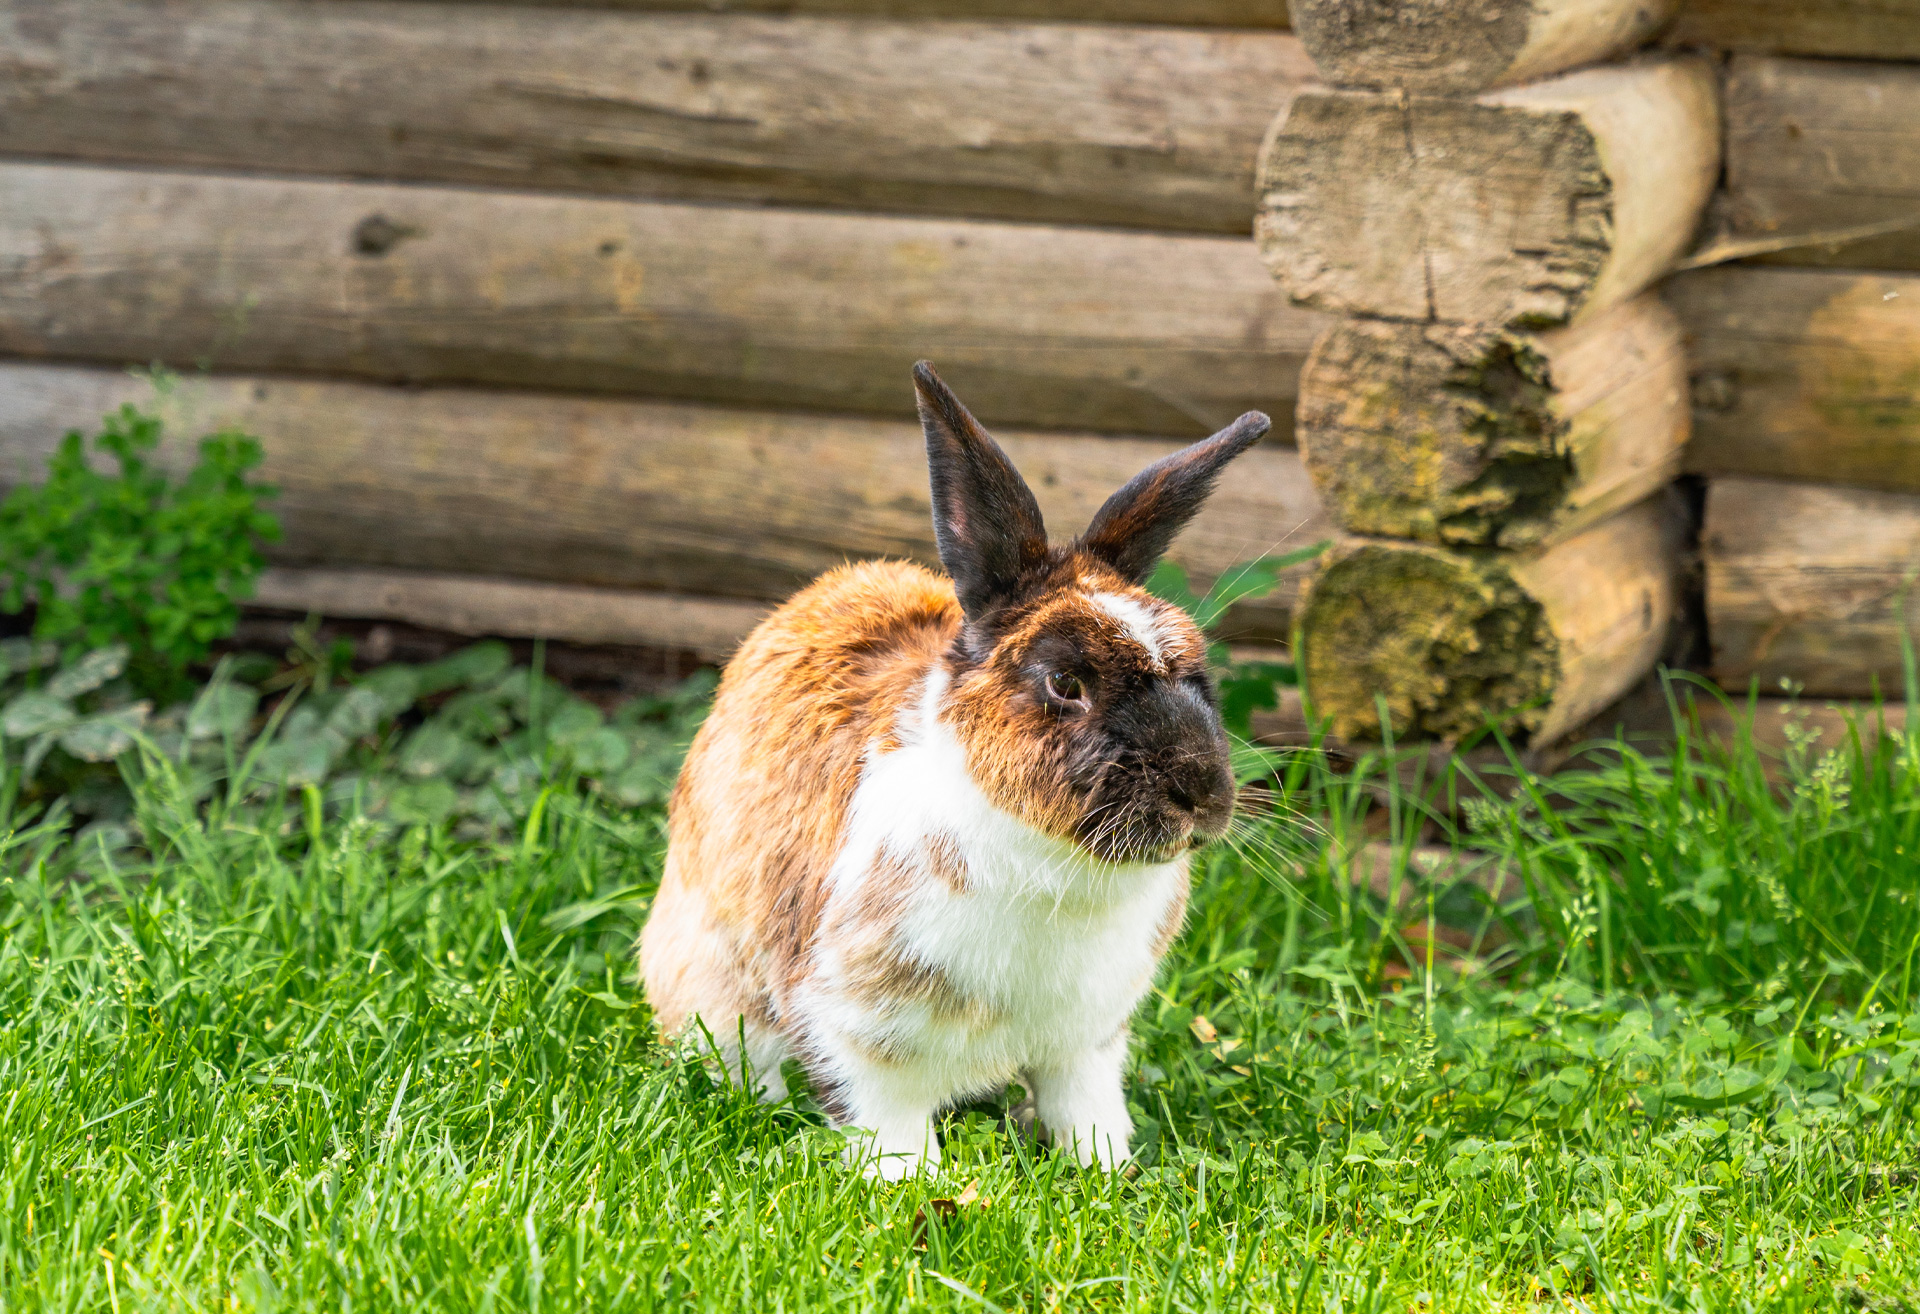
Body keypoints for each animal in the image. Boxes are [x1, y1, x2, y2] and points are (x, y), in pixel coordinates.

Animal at [637, 361, 1267, 1183]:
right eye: (1065, 682)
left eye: (1199, 671)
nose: (1199, 793)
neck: (1051, 864)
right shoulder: (852, 1032)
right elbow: (889, 1122)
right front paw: (914, 1186)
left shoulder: (1087, 1045)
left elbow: (1085, 1107)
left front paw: (1104, 1169)